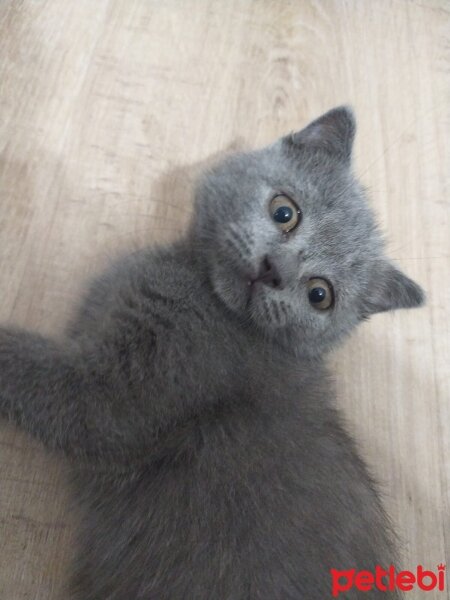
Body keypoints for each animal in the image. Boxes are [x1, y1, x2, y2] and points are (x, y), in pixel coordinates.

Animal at [0, 105, 424, 596]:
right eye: (285, 212)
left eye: (320, 295)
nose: (275, 270)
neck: (202, 289)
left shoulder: (131, 394)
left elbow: (63, 396)